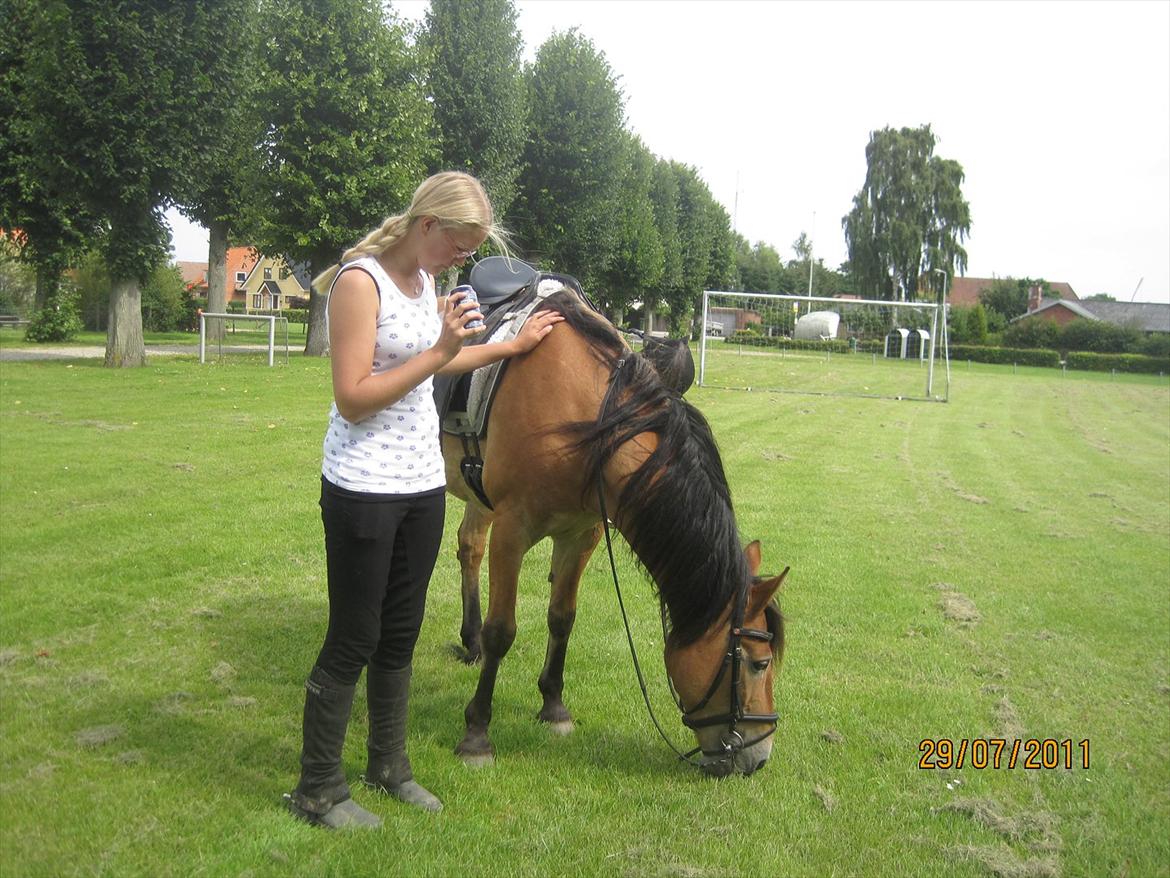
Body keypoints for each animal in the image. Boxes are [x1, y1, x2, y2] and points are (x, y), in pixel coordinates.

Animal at [440, 288, 787, 777]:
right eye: (759, 664)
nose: (758, 756)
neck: (586, 421)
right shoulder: (513, 529)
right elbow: (502, 631)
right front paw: (476, 733)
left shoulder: (580, 534)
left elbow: (562, 617)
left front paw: (554, 707)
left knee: (469, 546)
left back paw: (469, 642)